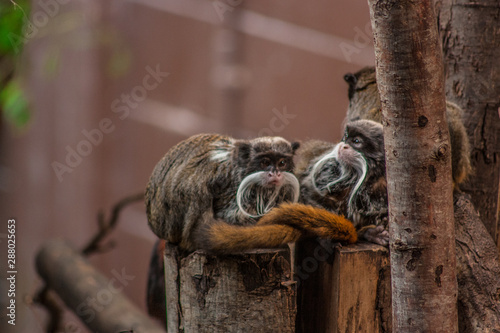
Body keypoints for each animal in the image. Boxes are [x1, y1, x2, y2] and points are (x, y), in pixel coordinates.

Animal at [145, 132, 356, 252]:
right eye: (264, 162)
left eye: (281, 162)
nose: (275, 173)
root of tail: (154, 224)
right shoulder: (230, 183)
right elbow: (231, 216)